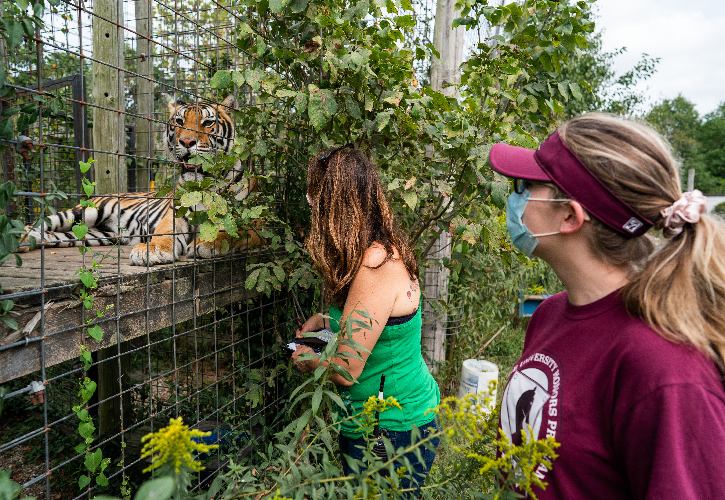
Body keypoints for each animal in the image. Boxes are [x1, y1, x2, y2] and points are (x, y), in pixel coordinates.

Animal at [18, 94, 262, 266]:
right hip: (83, 213)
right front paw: (151, 250)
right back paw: (19, 240)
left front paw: (208, 243)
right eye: (179, 121)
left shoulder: (256, 222)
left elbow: (234, 231)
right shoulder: (176, 214)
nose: (186, 141)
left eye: (208, 123)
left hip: (94, 235)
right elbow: (166, 231)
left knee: (52, 234)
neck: (205, 185)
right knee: (39, 223)